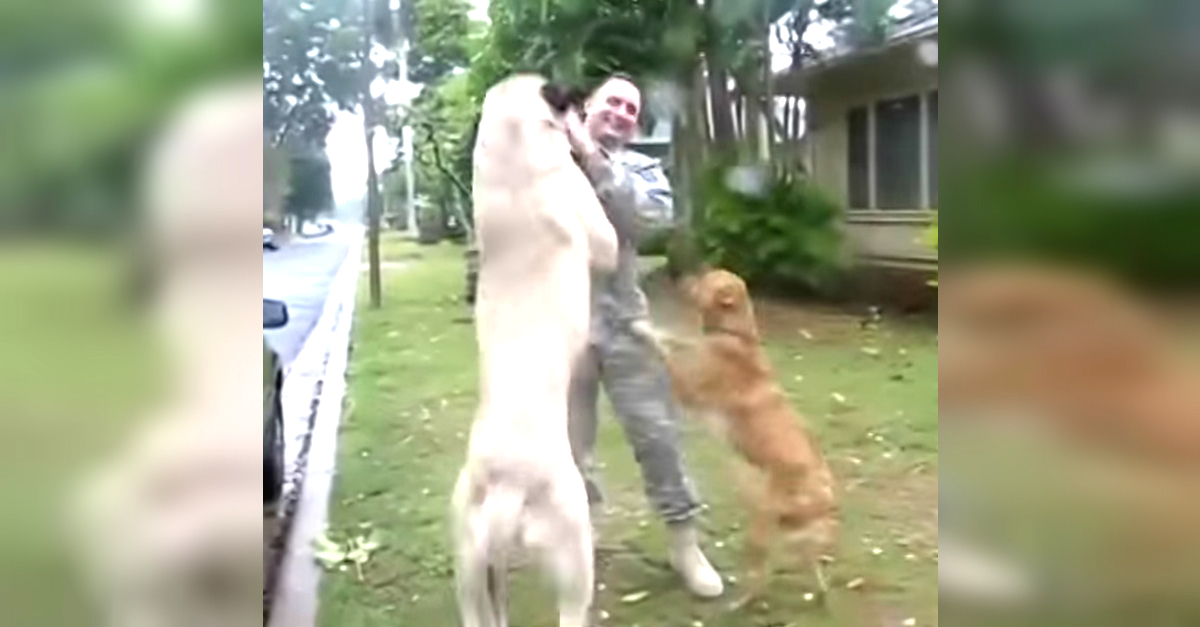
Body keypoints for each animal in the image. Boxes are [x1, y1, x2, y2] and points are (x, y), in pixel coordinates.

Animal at [633, 266, 840, 605]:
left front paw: (642, 328)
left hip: (760, 527)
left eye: (706, 280)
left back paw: (740, 602)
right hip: (789, 531)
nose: (679, 274)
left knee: (760, 577)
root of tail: (823, 491)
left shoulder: (685, 388)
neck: (735, 334)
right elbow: (676, 340)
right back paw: (818, 593)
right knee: (809, 565)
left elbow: (665, 346)